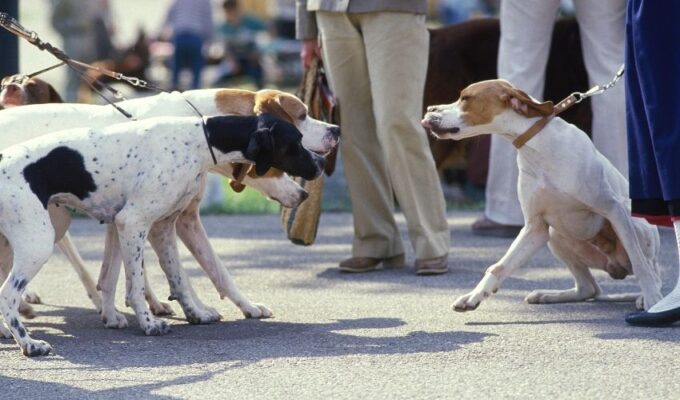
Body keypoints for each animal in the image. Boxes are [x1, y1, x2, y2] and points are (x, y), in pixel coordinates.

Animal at [422, 79, 660, 312]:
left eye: (466, 98)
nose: (430, 109)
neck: (537, 146)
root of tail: (615, 267)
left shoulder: (613, 209)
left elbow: (640, 262)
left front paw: (652, 299)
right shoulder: (535, 228)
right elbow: (499, 266)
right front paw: (474, 296)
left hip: (634, 222)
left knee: (652, 271)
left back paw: (646, 297)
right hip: (556, 235)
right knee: (588, 288)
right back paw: (548, 295)